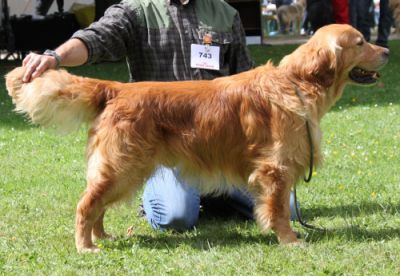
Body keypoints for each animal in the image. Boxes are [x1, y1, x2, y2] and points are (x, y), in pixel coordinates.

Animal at [5, 23, 388, 252]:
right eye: (361, 42)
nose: (385, 51)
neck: (297, 82)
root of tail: (116, 89)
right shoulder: (275, 169)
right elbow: (279, 211)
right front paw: (290, 241)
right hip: (122, 167)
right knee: (86, 204)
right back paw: (86, 246)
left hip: (123, 171)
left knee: (97, 205)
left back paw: (103, 236)